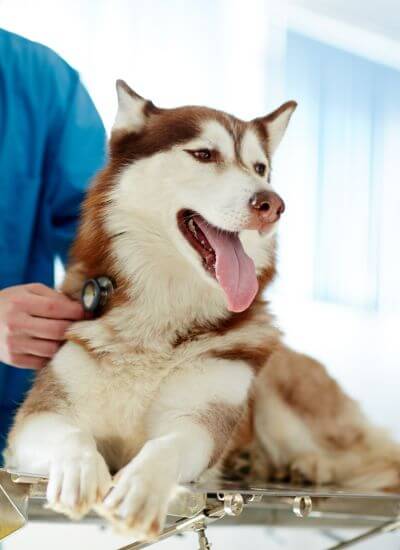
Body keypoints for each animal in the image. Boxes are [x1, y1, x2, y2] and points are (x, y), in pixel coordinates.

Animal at [6, 83, 400, 544]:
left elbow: (168, 445)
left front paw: (141, 487)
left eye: (260, 167)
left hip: (281, 403)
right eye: (204, 154)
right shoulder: (38, 418)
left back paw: (309, 465)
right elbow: (69, 434)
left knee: (374, 459)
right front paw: (77, 470)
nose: (272, 204)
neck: (163, 315)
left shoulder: (200, 422)